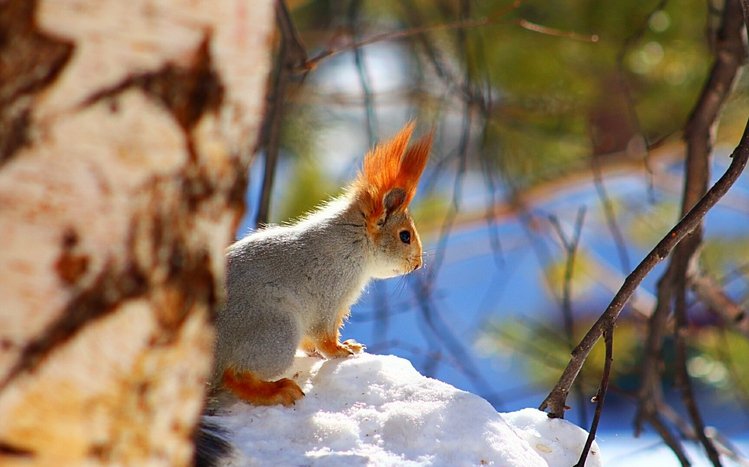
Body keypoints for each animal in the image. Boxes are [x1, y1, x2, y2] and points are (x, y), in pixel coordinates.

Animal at [195, 122, 432, 466]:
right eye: (405, 236)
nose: (417, 264)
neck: (353, 243)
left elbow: (312, 342)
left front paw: (343, 346)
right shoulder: (329, 295)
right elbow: (324, 335)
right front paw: (341, 351)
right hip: (275, 330)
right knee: (234, 376)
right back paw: (276, 390)